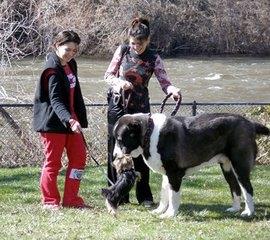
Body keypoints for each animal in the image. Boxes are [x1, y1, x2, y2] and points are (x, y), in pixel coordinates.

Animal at [113, 112, 268, 218]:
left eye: (120, 140)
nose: (114, 155)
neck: (149, 134)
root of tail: (249, 123)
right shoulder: (167, 174)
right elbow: (164, 194)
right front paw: (159, 211)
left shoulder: (174, 173)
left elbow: (173, 196)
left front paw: (170, 214)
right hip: (227, 167)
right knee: (235, 187)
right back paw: (235, 209)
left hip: (239, 165)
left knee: (247, 188)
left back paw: (248, 212)